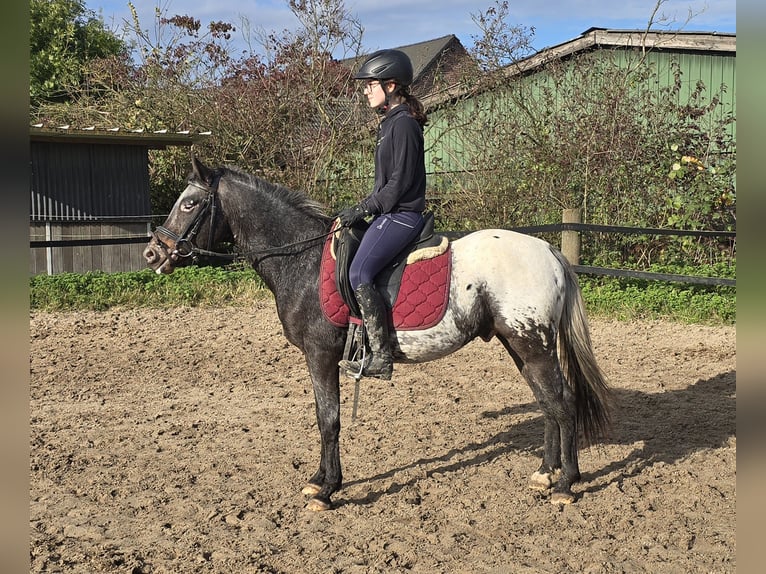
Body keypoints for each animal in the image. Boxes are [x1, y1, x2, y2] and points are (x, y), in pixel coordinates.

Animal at [142, 156, 612, 512]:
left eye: (190, 204)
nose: (152, 254)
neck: (301, 260)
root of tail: (549, 250)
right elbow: (324, 418)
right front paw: (318, 479)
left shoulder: (320, 355)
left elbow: (328, 419)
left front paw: (327, 491)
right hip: (520, 345)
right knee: (547, 402)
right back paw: (544, 473)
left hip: (532, 344)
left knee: (563, 402)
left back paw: (566, 485)